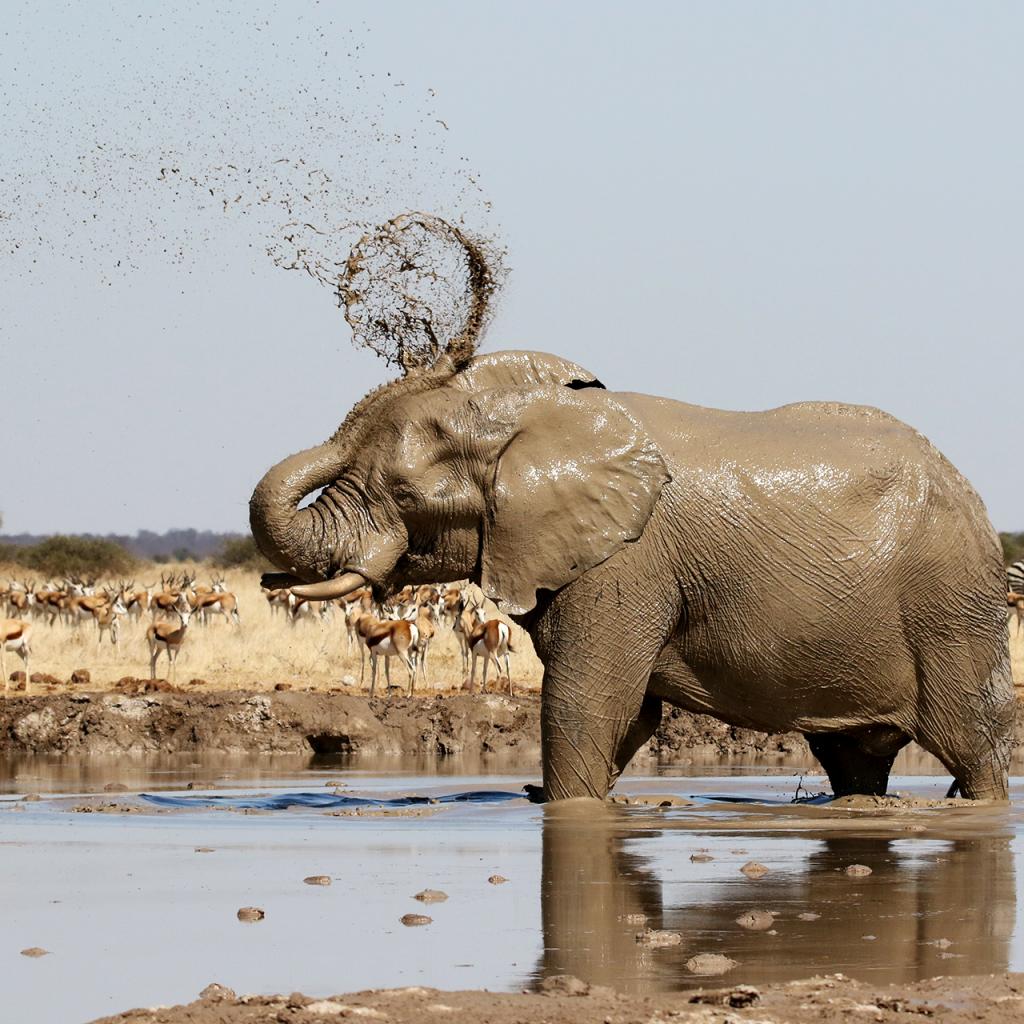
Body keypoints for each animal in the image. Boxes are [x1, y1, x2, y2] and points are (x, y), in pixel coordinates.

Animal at [249, 339, 1015, 802]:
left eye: (405, 495)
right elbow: (631, 714)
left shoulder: (627, 562)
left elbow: (586, 702)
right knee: (855, 758)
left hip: (952, 608)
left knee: (972, 741)